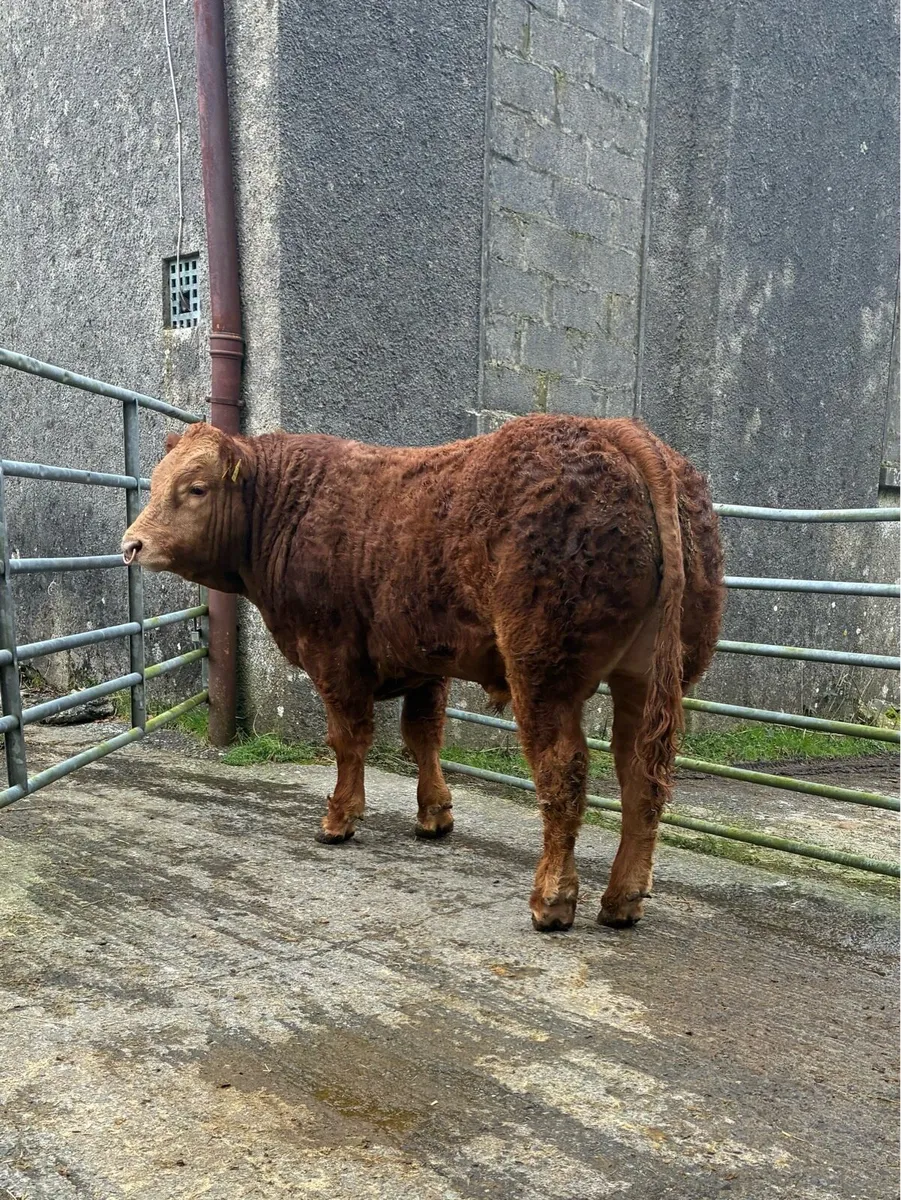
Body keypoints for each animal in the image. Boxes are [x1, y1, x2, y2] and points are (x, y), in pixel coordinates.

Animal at [122, 414, 724, 931]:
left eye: (196, 488)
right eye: (155, 482)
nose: (132, 544)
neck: (289, 505)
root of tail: (616, 431)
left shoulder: (332, 654)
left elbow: (349, 740)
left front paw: (339, 819)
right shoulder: (426, 659)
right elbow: (423, 735)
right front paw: (435, 814)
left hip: (543, 672)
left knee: (564, 771)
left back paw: (552, 898)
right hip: (648, 676)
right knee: (641, 774)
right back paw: (623, 898)